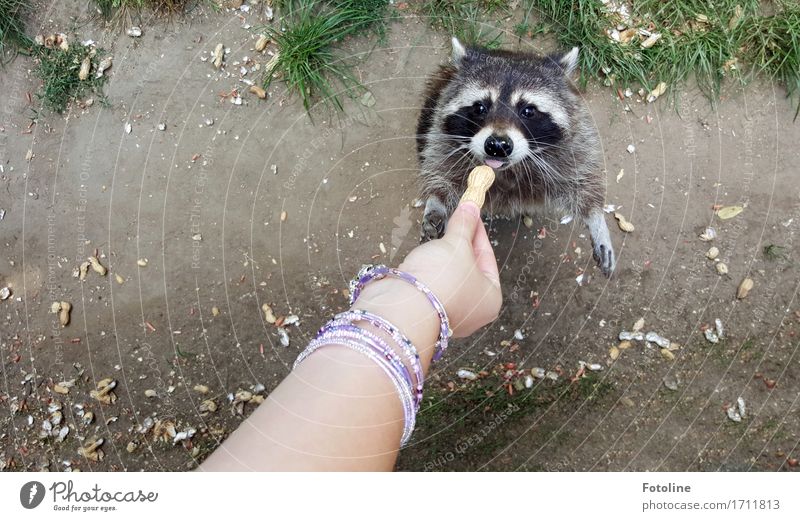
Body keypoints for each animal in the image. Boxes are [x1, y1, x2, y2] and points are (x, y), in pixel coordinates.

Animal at [416, 38, 616, 274]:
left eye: (528, 111)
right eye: (480, 107)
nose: (497, 146)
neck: (504, 170)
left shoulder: (573, 144)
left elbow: (583, 180)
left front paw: (596, 220)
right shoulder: (442, 137)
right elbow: (441, 169)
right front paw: (437, 202)